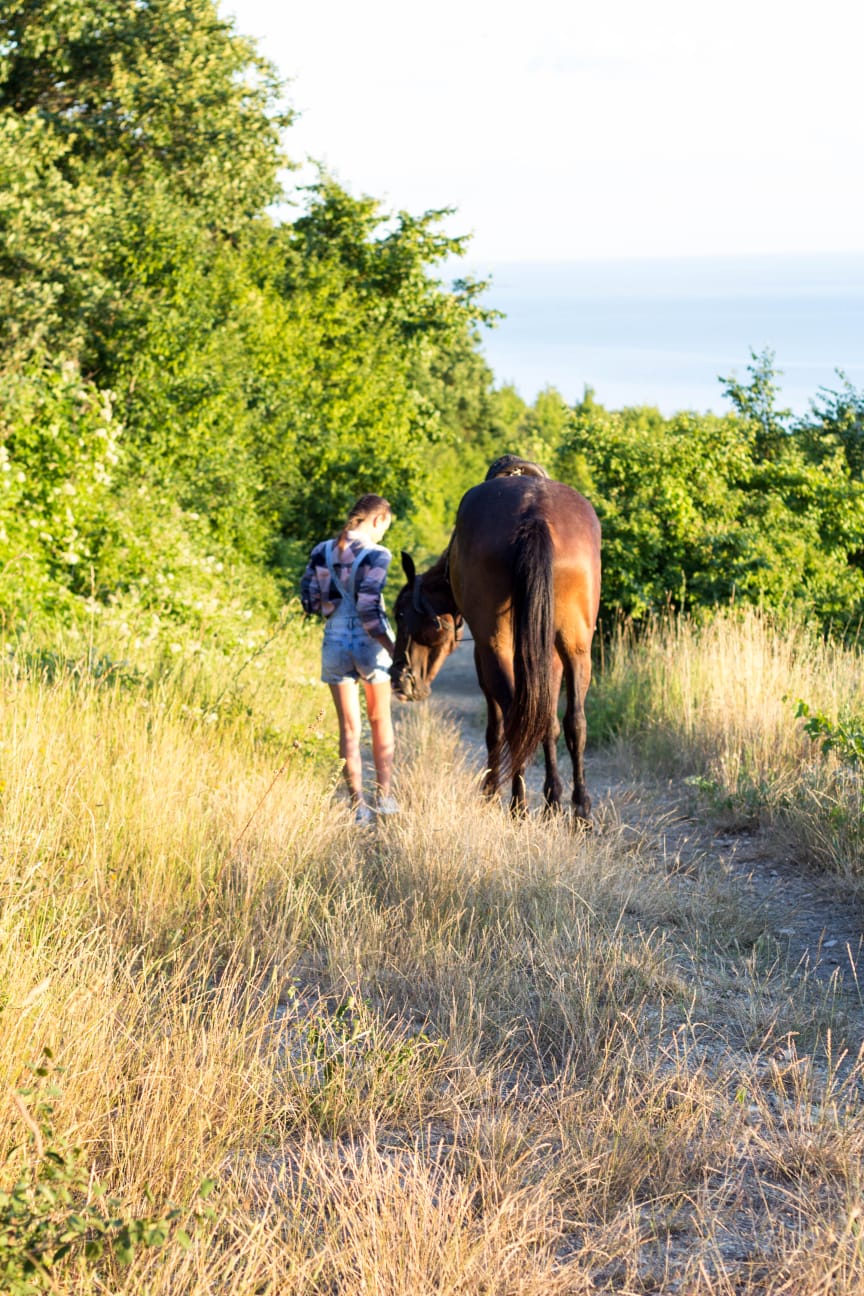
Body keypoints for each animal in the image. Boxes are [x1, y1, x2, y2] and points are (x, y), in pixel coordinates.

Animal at [391, 474, 601, 819]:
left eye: (399, 612)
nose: (399, 679)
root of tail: (535, 514)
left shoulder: (481, 656)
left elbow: (496, 729)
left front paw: (491, 791)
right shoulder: (551, 657)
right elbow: (550, 723)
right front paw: (552, 796)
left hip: (495, 648)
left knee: (515, 718)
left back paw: (518, 804)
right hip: (577, 645)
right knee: (574, 722)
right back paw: (577, 808)